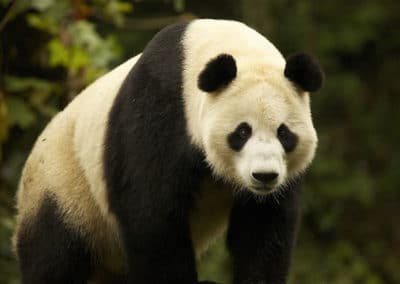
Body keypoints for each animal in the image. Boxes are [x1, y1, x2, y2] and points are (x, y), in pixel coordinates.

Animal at [14, 19, 324, 284]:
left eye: (284, 133)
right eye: (242, 132)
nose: (264, 176)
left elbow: (261, 228)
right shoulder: (159, 113)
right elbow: (153, 216)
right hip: (65, 187)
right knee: (54, 256)